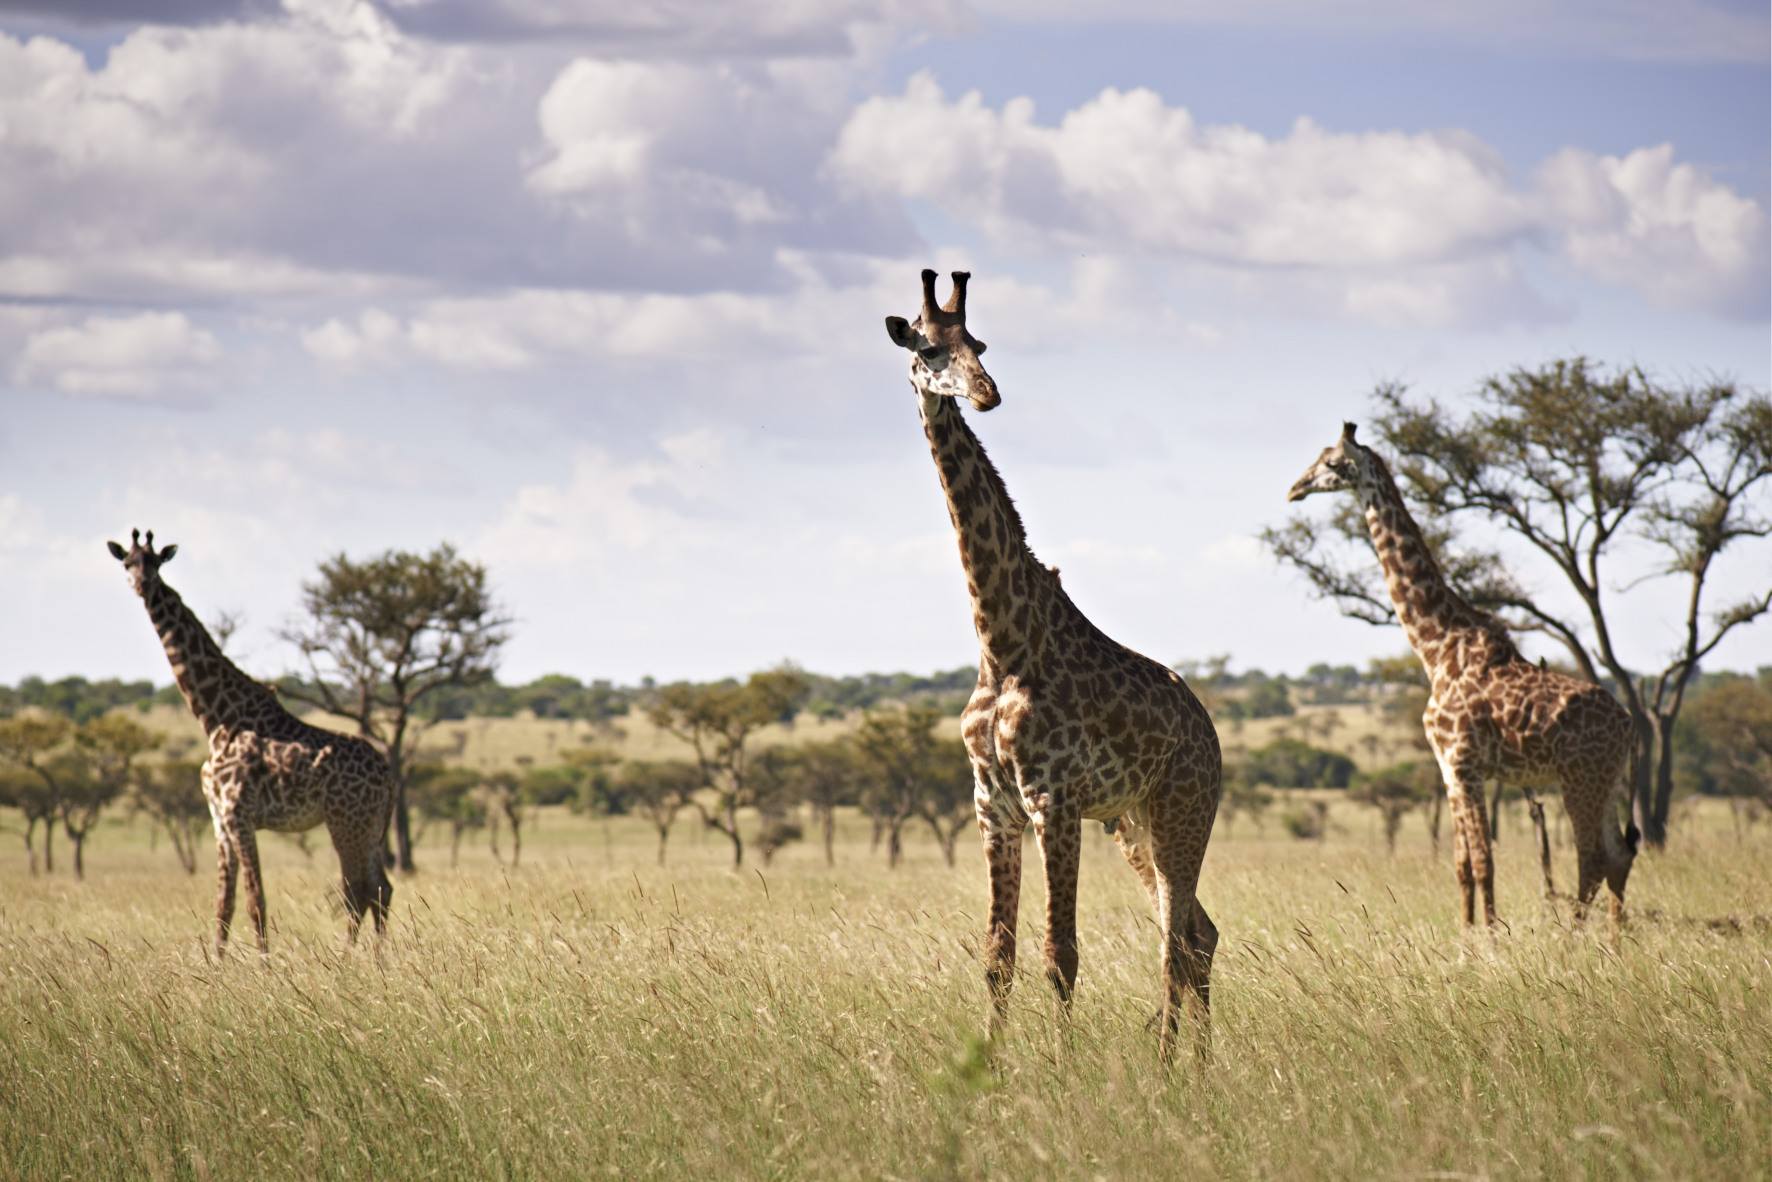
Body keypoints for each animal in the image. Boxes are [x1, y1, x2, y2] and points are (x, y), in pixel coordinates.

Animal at [110, 531, 395, 956]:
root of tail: (389, 775)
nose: (143, 586)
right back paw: (379, 958)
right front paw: (216, 962)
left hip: (347, 821)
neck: (216, 717)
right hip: (371, 825)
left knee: (358, 889)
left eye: (155, 563)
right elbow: (223, 902)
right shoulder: (218, 819)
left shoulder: (239, 814)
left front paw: (264, 963)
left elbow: (255, 898)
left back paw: (347, 956)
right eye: (128, 563)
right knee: (381, 888)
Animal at [882, 271, 1219, 1063]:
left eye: (978, 345)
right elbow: (998, 956)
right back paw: (1199, 1062)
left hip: (1182, 812)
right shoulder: (993, 804)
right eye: (928, 346)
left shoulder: (1053, 800)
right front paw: (992, 1064)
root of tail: (1213, 737)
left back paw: (1170, 1066)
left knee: (1178, 942)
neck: (1002, 643)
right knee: (1197, 934)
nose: (986, 393)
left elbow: (1059, 954)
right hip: (1133, 823)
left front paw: (1063, 1071)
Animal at [1282, 430, 1637, 928]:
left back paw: (1576, 938)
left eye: (1332, 463)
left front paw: (1490, 938)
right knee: (1618, 855)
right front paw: (1467, 937)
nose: (1294, 489)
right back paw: (1615, 938)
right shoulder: (1448, 769)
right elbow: (1462, 865)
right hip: (1608, 780)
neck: (1437, 646)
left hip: (1578, 778)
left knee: (1592, 859)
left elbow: (1485, 861)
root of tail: (1628, 724)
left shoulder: (1465, 764)